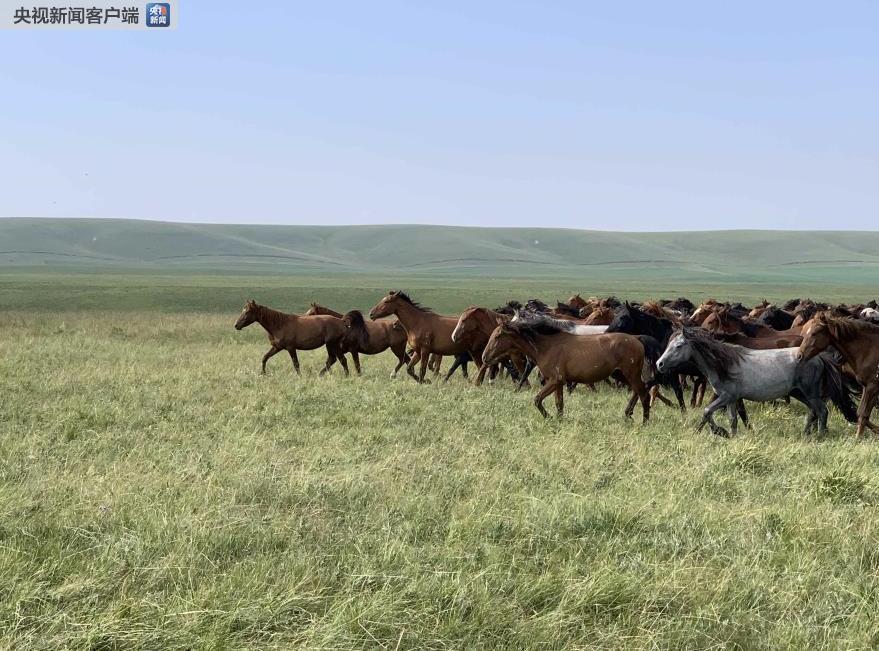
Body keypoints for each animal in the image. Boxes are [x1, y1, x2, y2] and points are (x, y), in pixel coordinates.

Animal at [478, 320, 648, 422]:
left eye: (498, 335)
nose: (484, 357)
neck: (546, 346)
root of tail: (637, 339)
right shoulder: (558, 383)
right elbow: (559, 403)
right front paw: (559, 420)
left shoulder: (555, 380)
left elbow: (537, 400)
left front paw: (549, 417)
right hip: (621, 374)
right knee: (638, 391)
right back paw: (628, 414)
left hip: (630, 374)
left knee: (643, 393)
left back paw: (644, 421)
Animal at [660, 326, 860, 438]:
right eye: (668, 344)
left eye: (678, 346)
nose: (659, 364)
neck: (725, 364)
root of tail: (818, 357)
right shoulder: (732, 399)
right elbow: (733, 419)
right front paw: (731, 435)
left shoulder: (726, 396)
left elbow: (707, 411)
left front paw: (720, 432)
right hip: (799, 393)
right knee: (813, 412)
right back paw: (805, 435)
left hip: (810, 392)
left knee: (822, 411)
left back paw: (820, 436)